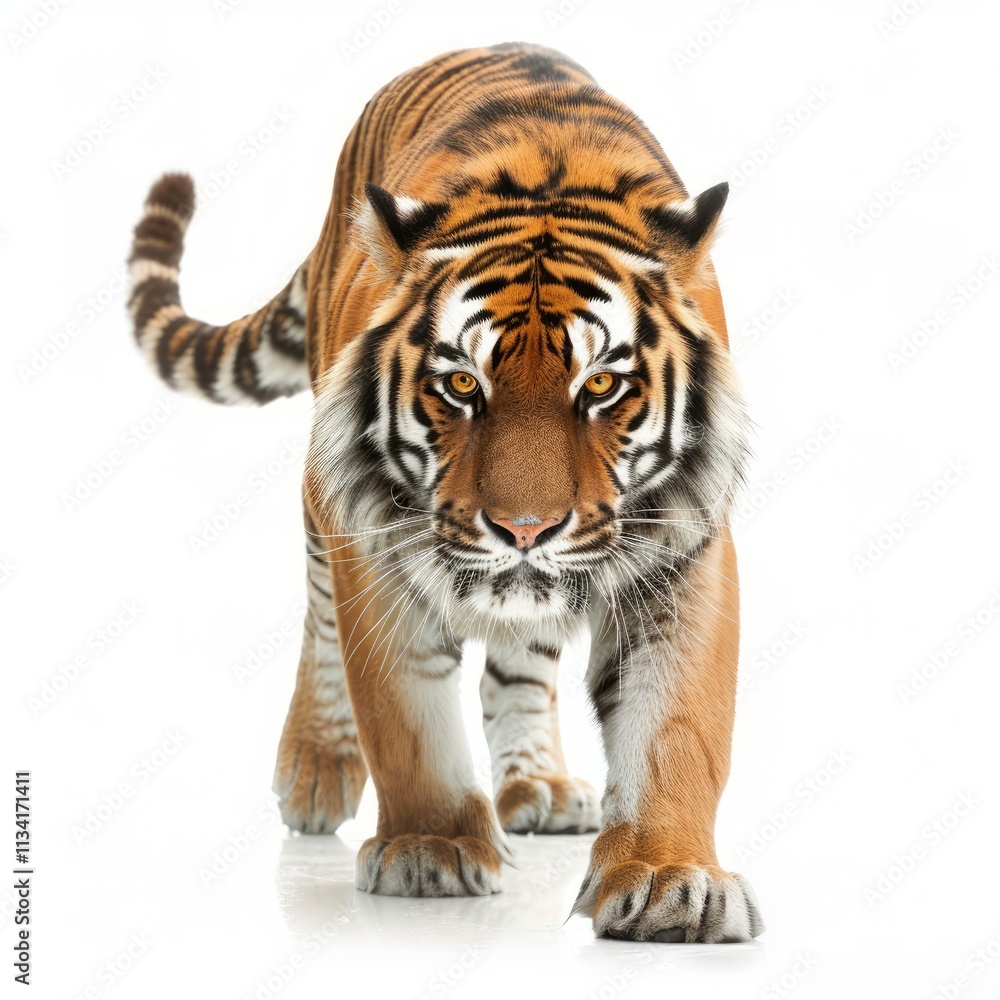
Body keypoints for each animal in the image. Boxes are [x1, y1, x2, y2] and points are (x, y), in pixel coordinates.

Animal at [126, 42, 763, 943]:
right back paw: (316, 768)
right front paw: (430, 849)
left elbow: (677, 723)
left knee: (519, 667)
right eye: (462, 384)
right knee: (321, 619)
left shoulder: (685, 547)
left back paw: (539, 788)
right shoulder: (371, 540)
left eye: (602, 386)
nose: (524, 529)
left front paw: (670, 880)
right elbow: (402, 710)